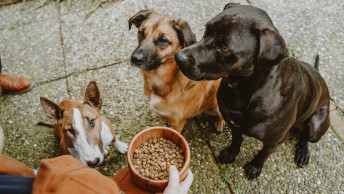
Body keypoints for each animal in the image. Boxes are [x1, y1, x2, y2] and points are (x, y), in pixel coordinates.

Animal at [176, 3, 330, 179]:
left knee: (306, 137)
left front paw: (255, 167)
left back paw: (303, 152)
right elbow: (236, 140)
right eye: (206, 29)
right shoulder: (233, 124)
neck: (242, 91)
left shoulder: (274, 142)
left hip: (316, 127)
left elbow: (262, 154)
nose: (178, 57)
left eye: (224, 48)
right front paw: (231, 153)